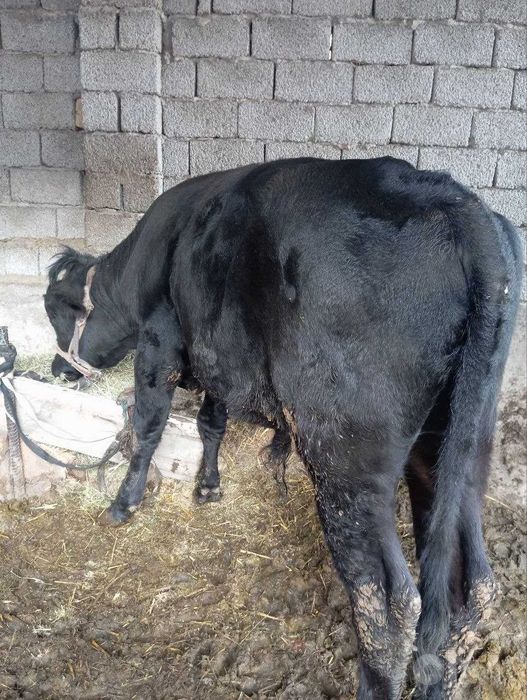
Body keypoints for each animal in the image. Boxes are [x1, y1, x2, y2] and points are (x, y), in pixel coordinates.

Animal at [44, 157, 523, 699]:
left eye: (55, 311)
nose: (58, 370)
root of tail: (457, 204)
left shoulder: (159, 340)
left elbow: (149, 425)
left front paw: (124, 502)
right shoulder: (218, 356)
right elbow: (211, 422)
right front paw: (208, 486)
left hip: (347, 464)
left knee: (389, 601)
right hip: (457, 451)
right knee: (472, 586)